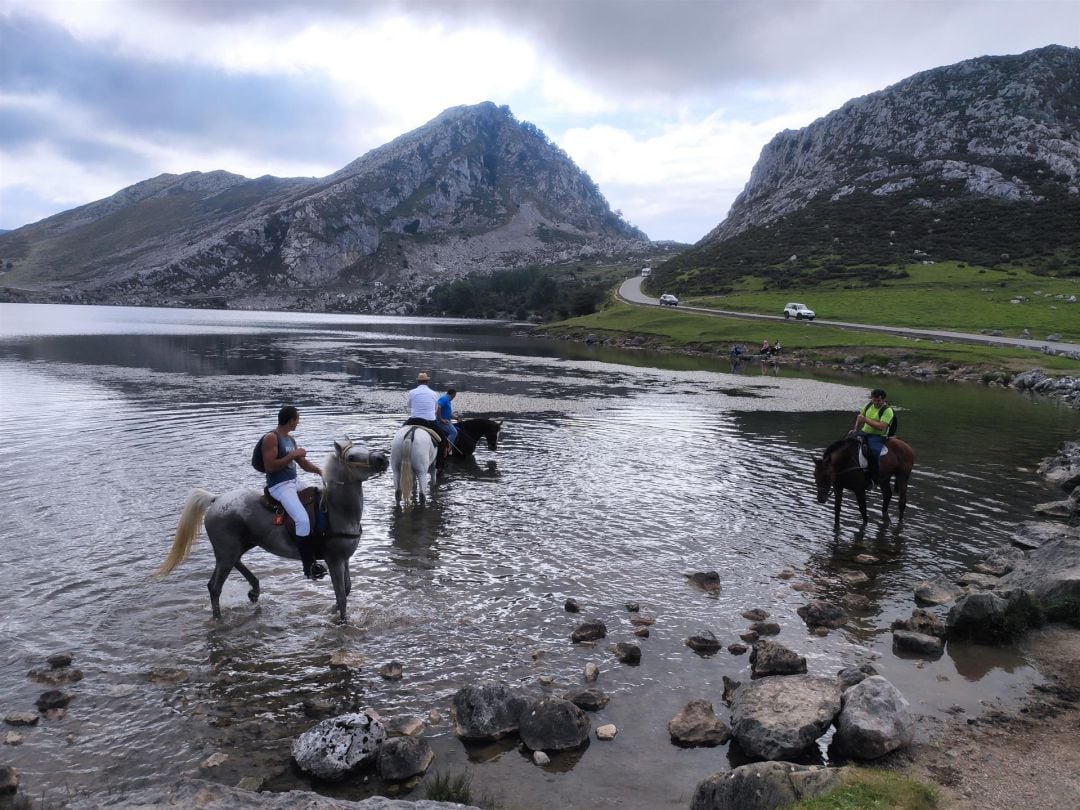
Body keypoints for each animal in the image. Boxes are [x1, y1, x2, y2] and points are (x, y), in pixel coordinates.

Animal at [154, 440, 386, 626]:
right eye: (352, 456)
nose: (382, 458)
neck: (337, 511)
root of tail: (216, 499)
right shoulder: (334, 560)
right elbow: (342, 595)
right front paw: (342, 622)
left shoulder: (343, 559)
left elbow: (347, 589)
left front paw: (332, 611)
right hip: (227, 550)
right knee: (214, 586)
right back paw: (219, 618)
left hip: (240, 545)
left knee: (236, 563)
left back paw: (254, 590)